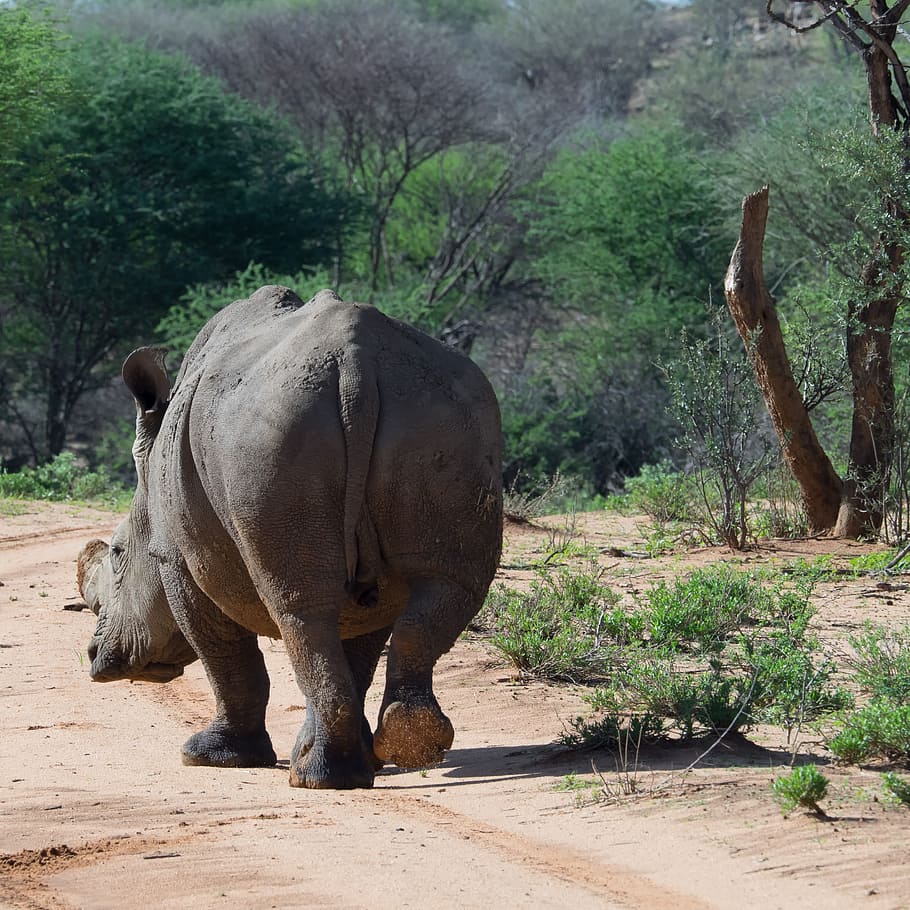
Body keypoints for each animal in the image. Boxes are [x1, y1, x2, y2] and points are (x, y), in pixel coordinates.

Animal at [77, 287, 502, 789]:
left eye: (118, 552)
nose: (94, 656)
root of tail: (357, 362)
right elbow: (357, 649)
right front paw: (353, 756)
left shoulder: (176, 559)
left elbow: (225, 656)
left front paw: (210, 757)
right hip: (442, 413)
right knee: (440, 589)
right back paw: (406, 746)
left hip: (275, 432)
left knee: (298, 607)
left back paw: (318, 778)